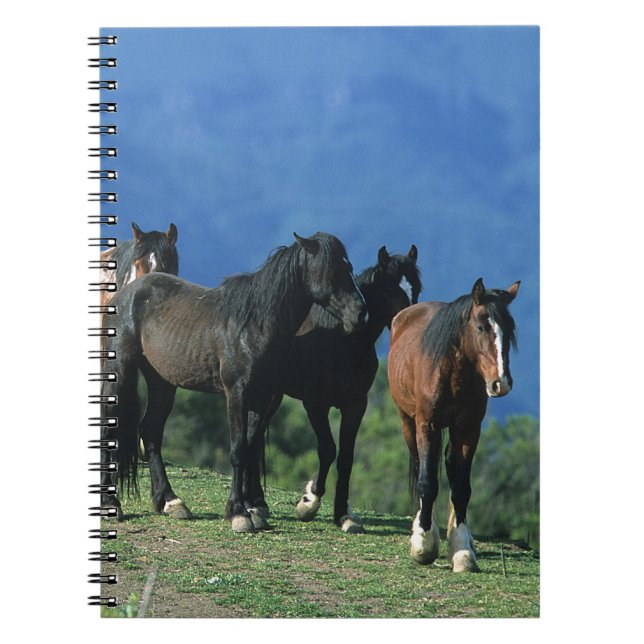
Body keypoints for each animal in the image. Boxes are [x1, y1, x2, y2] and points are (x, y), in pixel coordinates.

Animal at [101, 232, 366, 533]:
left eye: (349, 267)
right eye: (331, 271)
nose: (360, 313)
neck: (254, 325)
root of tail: (125, 293)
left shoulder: (262, 396)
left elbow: (249, 447)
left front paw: (247, 509)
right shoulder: (237, 393)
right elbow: (238, 450)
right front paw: (240, 513)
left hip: (162, 382)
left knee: (151, 431)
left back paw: (170, 501)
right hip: (121, 370)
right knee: (111, 429)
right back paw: (112, 504)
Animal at [258, 245, 422, 533]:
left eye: (417, 290)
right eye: (389, 289)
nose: (409, 323)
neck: (342, 341)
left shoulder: (356, 405)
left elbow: (346, 457)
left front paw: (343, 515)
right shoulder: (315, 404)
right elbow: (327, 450)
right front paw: (309, 502)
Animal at [387, 278, 520, 572]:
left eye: (510, 329)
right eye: (481, 326)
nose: (501, 383)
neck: (453, 375)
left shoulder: (469, 430)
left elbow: (460, 487)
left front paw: (462, 550)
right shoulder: (427, 425)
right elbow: (427, 481)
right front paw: (423, 543)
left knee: (448, 465)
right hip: (408, 422)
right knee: (420, 465)